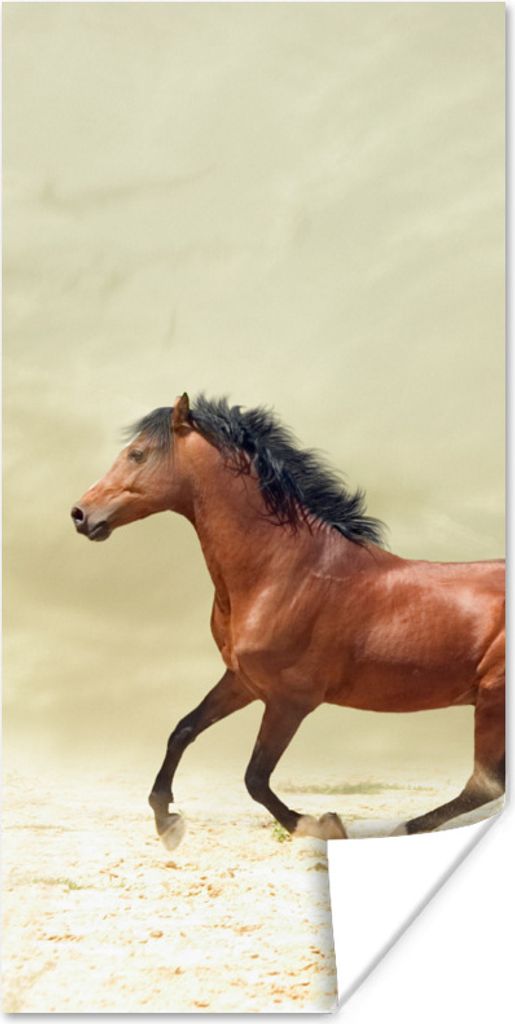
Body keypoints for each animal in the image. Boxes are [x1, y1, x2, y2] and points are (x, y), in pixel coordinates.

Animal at [71, 393, 505, 847]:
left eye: (137, 454)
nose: (80, 514)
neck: (285, 572)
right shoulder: (242, 681)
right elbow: (183, 730)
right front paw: (166, 819)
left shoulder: (290, 701)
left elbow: (255, 778)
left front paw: (318, 824)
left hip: (492, 699)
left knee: (484, 783)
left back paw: (404, 829)